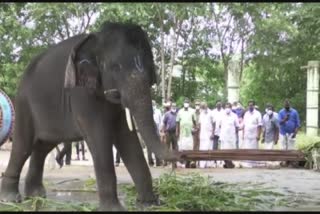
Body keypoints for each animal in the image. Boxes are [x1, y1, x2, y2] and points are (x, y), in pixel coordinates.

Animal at [0, 22, 180, 211]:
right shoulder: (81, 94)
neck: (96, 40)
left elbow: (127, 137)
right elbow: (100, 138)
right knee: (23, 146)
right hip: (24, 103)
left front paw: (150, 205)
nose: (183, 155)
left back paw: (36, 196)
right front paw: (114, 210)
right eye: (115, 67)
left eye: (150, 66)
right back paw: (11, 199)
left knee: (42, 147)